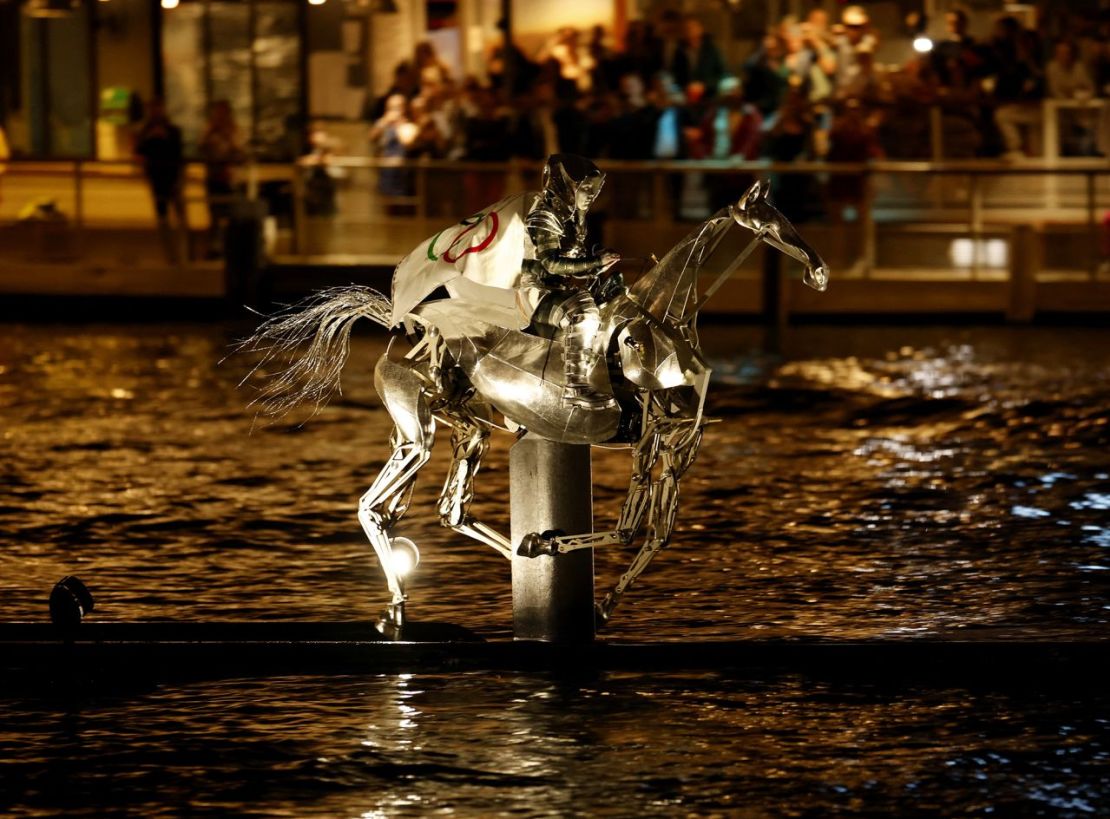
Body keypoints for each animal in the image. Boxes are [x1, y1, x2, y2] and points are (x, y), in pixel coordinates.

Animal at [245, 178, 834, 634]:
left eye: (789, 214)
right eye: (771, 219)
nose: (819, 272)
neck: (660, 319)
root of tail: (401, 323)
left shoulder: (672, 443)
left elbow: (656, 533)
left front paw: (600, 604)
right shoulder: (651, 439)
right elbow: (630, 527)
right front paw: (552, 551)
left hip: (466, 430)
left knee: (444, 510)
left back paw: (496, 561)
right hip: (418, 434)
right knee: (374, 508)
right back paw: (400, 603)